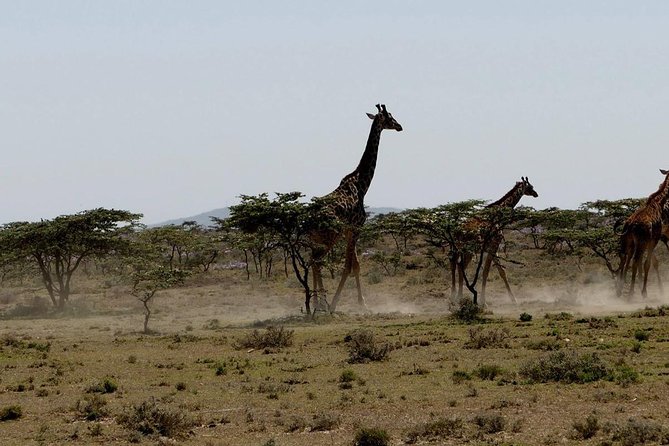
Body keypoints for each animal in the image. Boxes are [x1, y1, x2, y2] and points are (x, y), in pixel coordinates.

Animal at [309, 104, 403, 314]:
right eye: (390, 117)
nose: (400, 126)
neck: (362, 184)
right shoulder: (356, 227)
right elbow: (348, 266)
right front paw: (335, 304)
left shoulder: (349, 232)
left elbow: (356, 265)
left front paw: (363, 303)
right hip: (329, 237)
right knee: (317, 261)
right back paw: (323, 303)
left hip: (317, 239)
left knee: (312, 261)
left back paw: (315, 303)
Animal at [452, 177, 538, 306]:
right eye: (530, 186)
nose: (536, 194)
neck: (500, 214)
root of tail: (457, 231)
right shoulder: (494, 244)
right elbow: (486, 272)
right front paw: (483, 301)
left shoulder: (492, 247)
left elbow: (502, 272)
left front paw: (514, 299)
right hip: (467, 249)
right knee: (459, 266)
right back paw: (456, 297)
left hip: (463, 249)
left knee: (458, 266)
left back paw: (457, 297)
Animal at [617, 169, 669, 298]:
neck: (659, 202)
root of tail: (630, 225)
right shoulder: (654, 239)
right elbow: (648, 263)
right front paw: (644, 291)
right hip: (641, 242)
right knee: (635, 261)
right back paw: (631, 293)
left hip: (628, 242)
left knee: (624, 258)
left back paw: (619, 290)